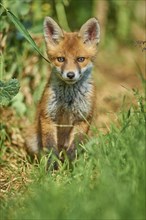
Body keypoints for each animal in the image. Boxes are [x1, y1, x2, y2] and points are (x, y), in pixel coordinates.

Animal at [25, 15, 100, 163]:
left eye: (80, 59)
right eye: (61, 59)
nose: (70, 75)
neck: (68, 100)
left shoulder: (83, 118)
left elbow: (74, 147)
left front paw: (71, 165)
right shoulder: (48, 116)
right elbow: (50, 148)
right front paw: (52, 166)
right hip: (32, 140)